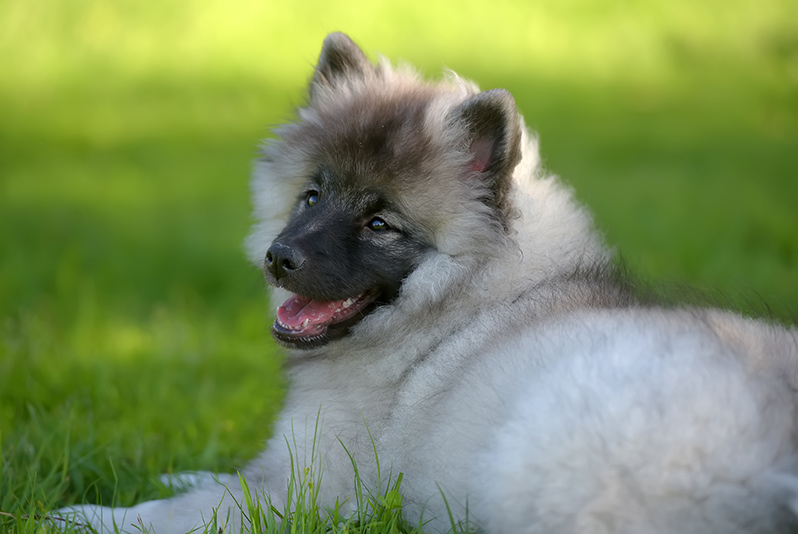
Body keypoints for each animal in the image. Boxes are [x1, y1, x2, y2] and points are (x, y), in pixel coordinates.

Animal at [59, 34, 796, 534]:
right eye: (311, 196)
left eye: (380, 223)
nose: (279, 257)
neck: (462, 304)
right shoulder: (290, 465)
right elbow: (220, 474)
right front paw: (172, 469)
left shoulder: (310, 488)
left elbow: (189, 507)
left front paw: (90, 516)